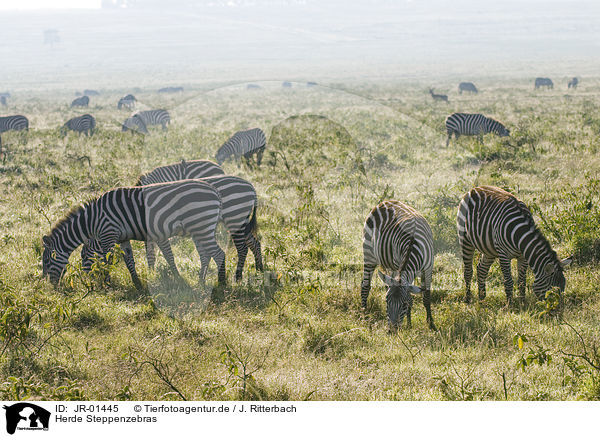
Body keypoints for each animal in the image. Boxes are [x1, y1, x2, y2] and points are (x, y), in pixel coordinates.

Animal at [41, 179, 225, 292]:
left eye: (47, 260)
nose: (50, 285)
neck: (92, 220)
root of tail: (215, 191)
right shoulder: (123, 238)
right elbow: (129, 260)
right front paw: (137, 283)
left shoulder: (108, 233)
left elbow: (108, 260)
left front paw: (107, 283)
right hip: (199, 229)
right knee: (206, 255)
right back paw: (201, 282)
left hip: (201, 225)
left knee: (219, 253)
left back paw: (222, 283)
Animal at [360, 199, 436, 328]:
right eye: (386, 302)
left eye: (403, 304)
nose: (392, 330)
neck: (412, 245)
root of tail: (385, 202)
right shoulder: (398, 266)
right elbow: (410, 296)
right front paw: (409, 325)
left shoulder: (428, 269)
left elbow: (426, 297)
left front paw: (430, 323)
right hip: (369, 253)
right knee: (365, 285)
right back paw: (365, 316)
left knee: (386, 284)